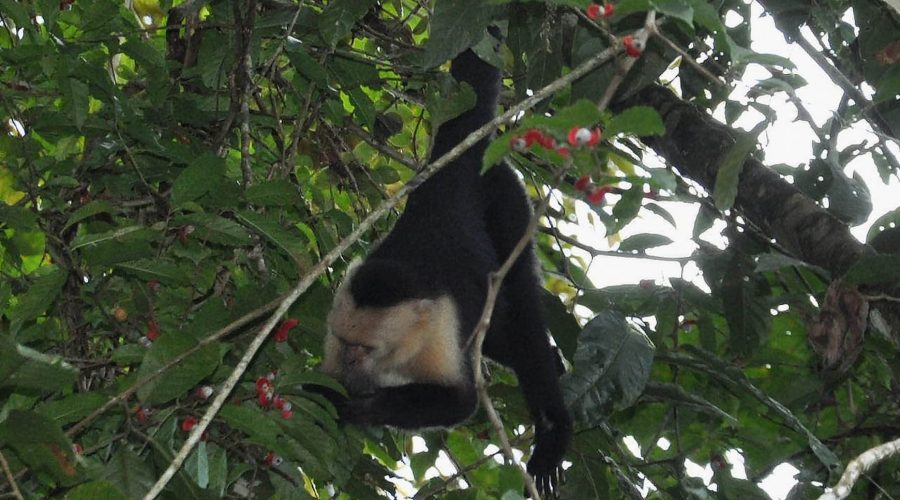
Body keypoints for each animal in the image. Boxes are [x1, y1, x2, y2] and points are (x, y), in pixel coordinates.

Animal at [324, 36, 572, 496]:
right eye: (343, 343)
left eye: (364, 348)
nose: (348, 367)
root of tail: (453, 168)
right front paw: (331, 393)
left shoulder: (438, 323)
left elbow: (459, 401)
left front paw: (361, 406)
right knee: (499, 330)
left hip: (505, 196)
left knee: (521, 312)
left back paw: (553, 429)